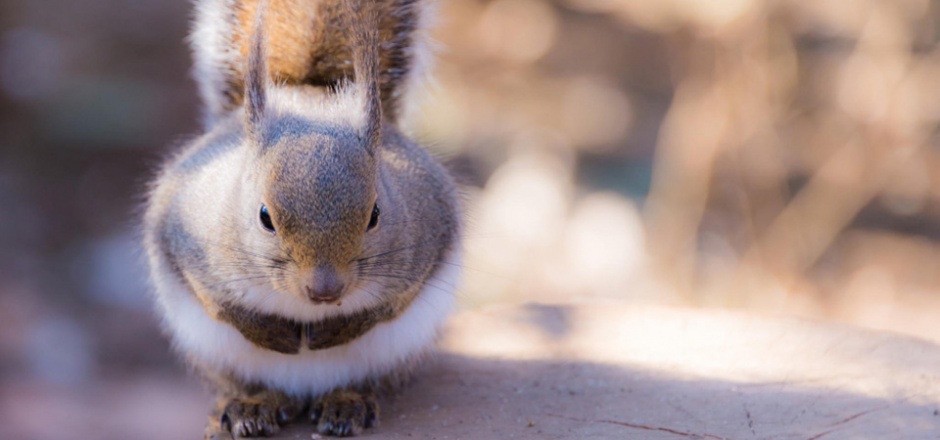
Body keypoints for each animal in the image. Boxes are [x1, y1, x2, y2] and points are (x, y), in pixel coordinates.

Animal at [141, 0, 460, 436]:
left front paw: (343, 326)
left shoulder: (430, 234)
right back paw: (254, 405)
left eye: (375, 214)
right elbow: (213, 301)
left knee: (362, 382)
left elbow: (396, 303)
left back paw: (345, 404)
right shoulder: (184, 236)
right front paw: (267, 330)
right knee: (258, 386)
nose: (325, 291)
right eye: (264, 217)